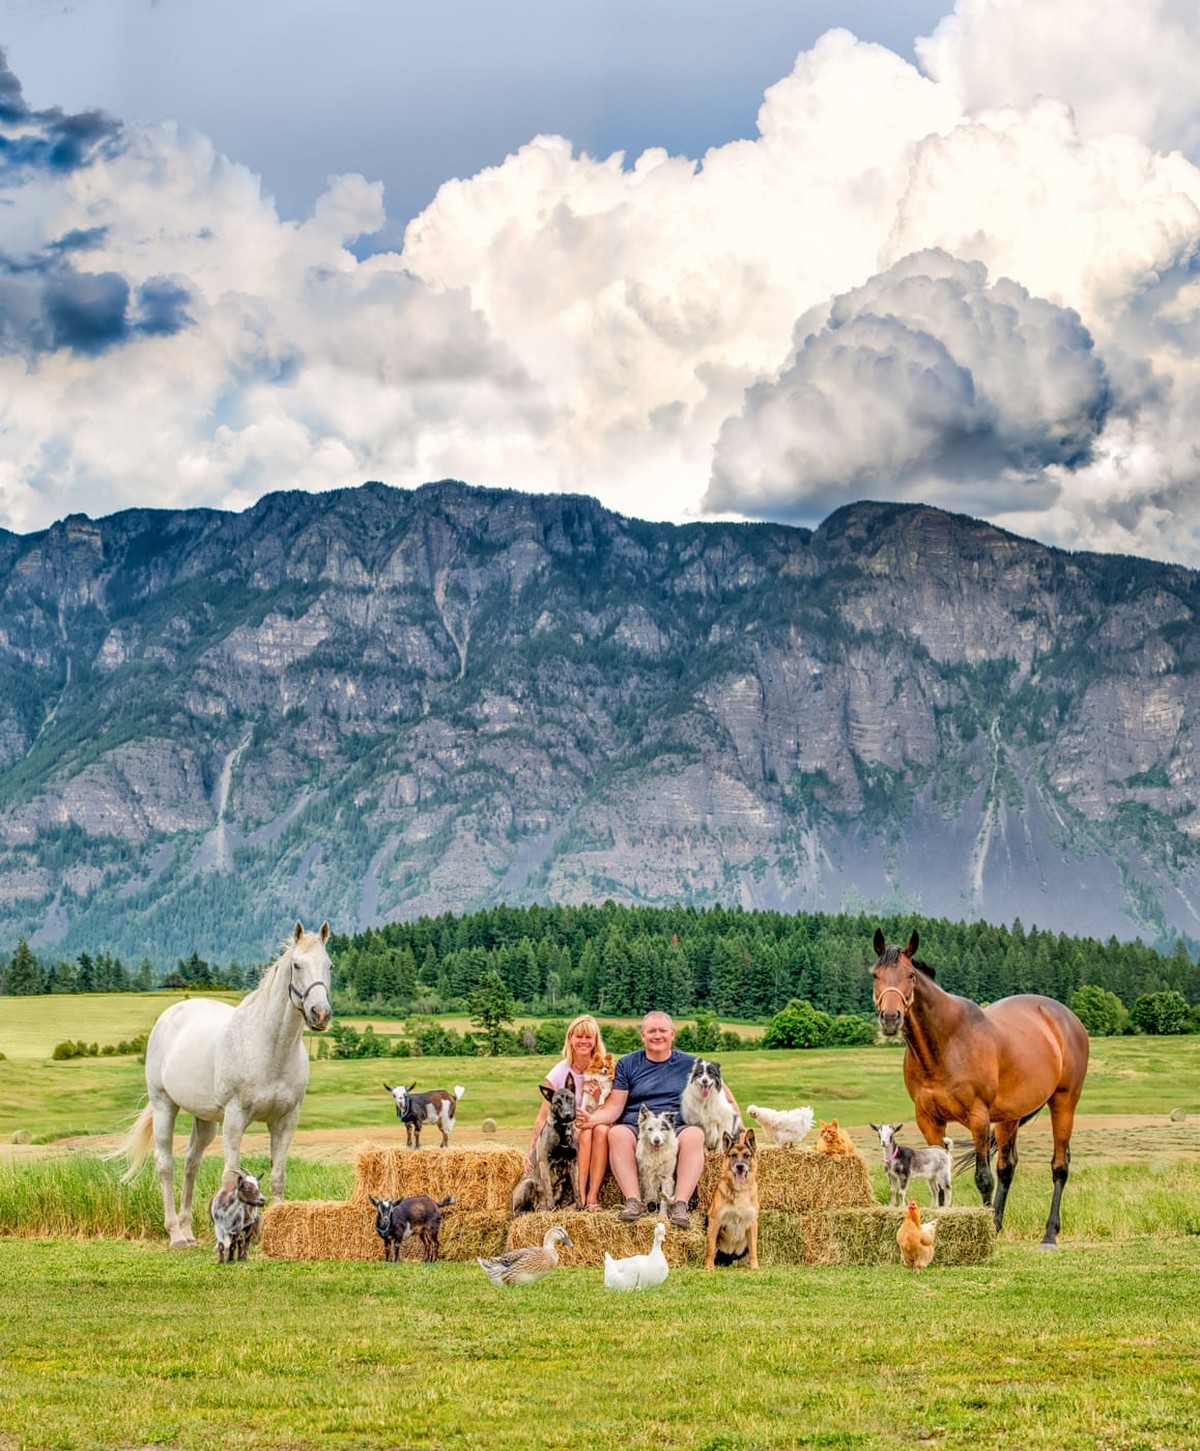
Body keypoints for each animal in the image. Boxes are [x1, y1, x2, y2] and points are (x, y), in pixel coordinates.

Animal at [118, 917, 333, 1247]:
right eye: (297, 964)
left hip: (205, 1120)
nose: (320, 1014)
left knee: (191, 1164)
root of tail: (170, 1015)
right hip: (164, 1104)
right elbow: (230, 1176)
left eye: (329, 965)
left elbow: (278, 1175)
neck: (269, 1048)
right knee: (165, 1165)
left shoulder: (285, 1120)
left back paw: (188, 1230)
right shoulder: (235, 1118)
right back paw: (176, 1235)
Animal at [705, 1120, 760, 1271]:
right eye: (734, 1155)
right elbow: (711, 1248)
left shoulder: (752, 1223)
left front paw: (755, 1267)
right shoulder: (715, 1220)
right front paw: (709, 1267)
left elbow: (753, 1249)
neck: (740, 1190)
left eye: (746, 1155)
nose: (740, 1166)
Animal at [870, 928, 1091, 1247]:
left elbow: (983, 1178)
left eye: (910, 975)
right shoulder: (929, 1121)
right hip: (1010, 1117)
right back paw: (997, 1223)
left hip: (1063, 1103)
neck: (945, 1043)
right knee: (1007, 1167)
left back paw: (1049, 1234)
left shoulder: (978, 1118)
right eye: (875, 974)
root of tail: (1067, 1018)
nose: (890, 1018)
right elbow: (939, 1178)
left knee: (1059, 1166)